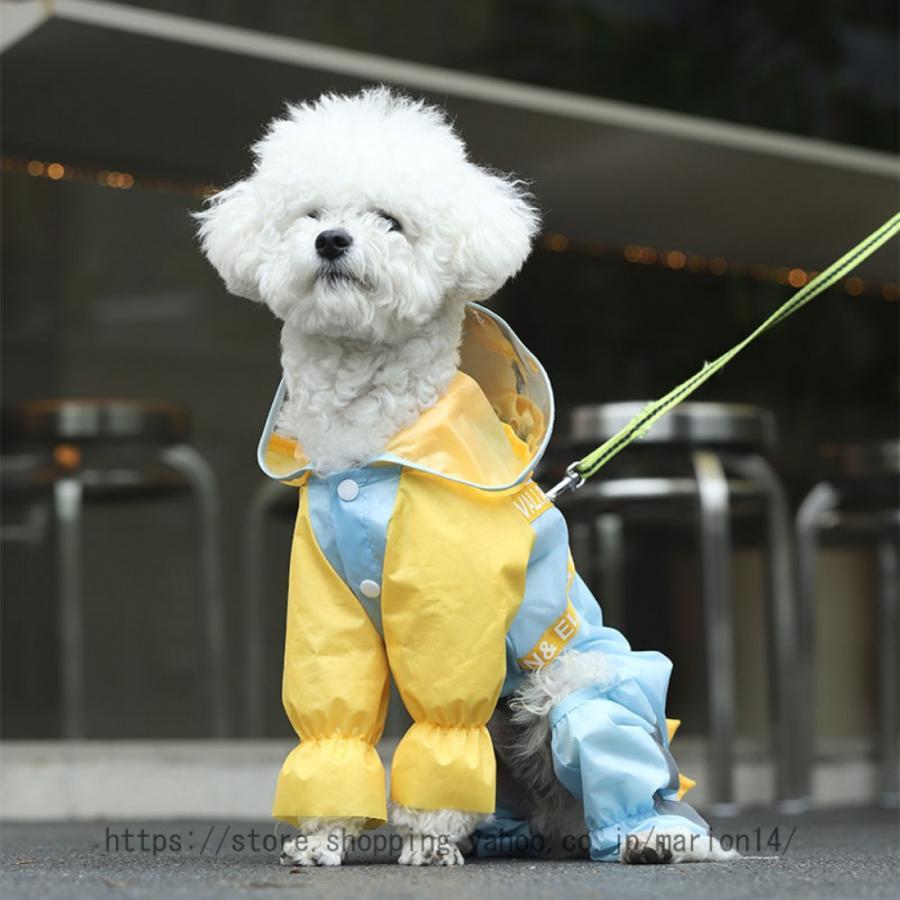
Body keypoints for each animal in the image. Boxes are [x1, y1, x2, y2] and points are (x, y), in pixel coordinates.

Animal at [195, 88, 732, 868]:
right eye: (311, 212)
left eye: (390, 220)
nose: (331, 241)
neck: (369, 448)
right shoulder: (327, 611)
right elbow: (335, 716)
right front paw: (323, 835)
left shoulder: (451, 618)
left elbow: (444, 721)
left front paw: (427, 836)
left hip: (572, 682)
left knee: (617, 756)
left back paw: (651, 834)